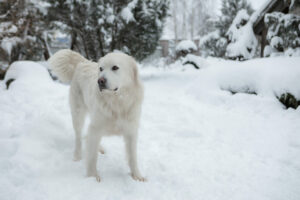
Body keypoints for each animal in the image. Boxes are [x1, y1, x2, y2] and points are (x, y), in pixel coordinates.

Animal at [49, 49, 145, 182]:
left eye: (115, 67)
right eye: (101, 69)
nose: (100, 81)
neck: (117, 103)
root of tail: (83, 62)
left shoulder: (131, 131)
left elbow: (132, 157)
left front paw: (137, 176)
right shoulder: (95, 128)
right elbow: (92, 157)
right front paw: (92, 177)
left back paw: (100, 148)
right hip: (78, 114)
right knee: (78, 137)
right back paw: (77, 156)